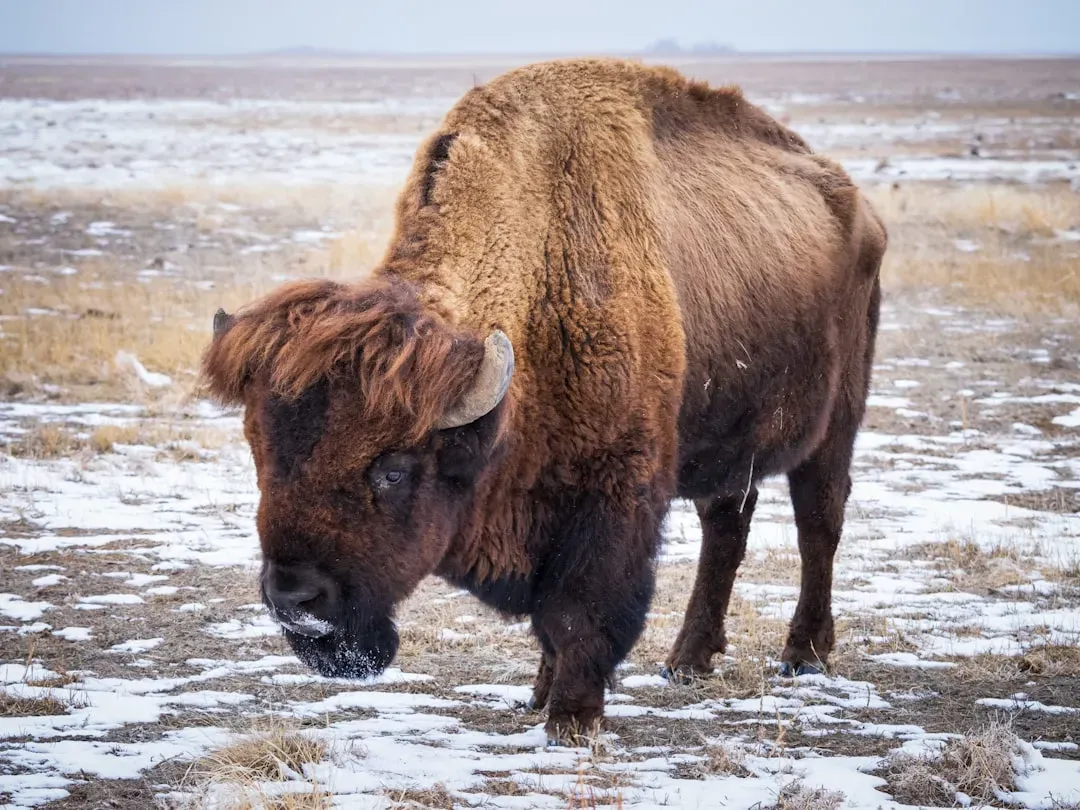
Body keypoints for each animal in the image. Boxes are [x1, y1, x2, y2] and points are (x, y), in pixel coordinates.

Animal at [202, 58, 886, 742]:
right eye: (260, 455)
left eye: (393, 471)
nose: (295, 600)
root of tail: (862, 209)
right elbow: (547, 623)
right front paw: (537, 695)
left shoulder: (612, 495)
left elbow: (578, 613)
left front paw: (572, 720)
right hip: (731, 440)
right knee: (727, 527)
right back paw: (687, 662)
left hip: (836, 420)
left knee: (818, 521)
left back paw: (804, 655)